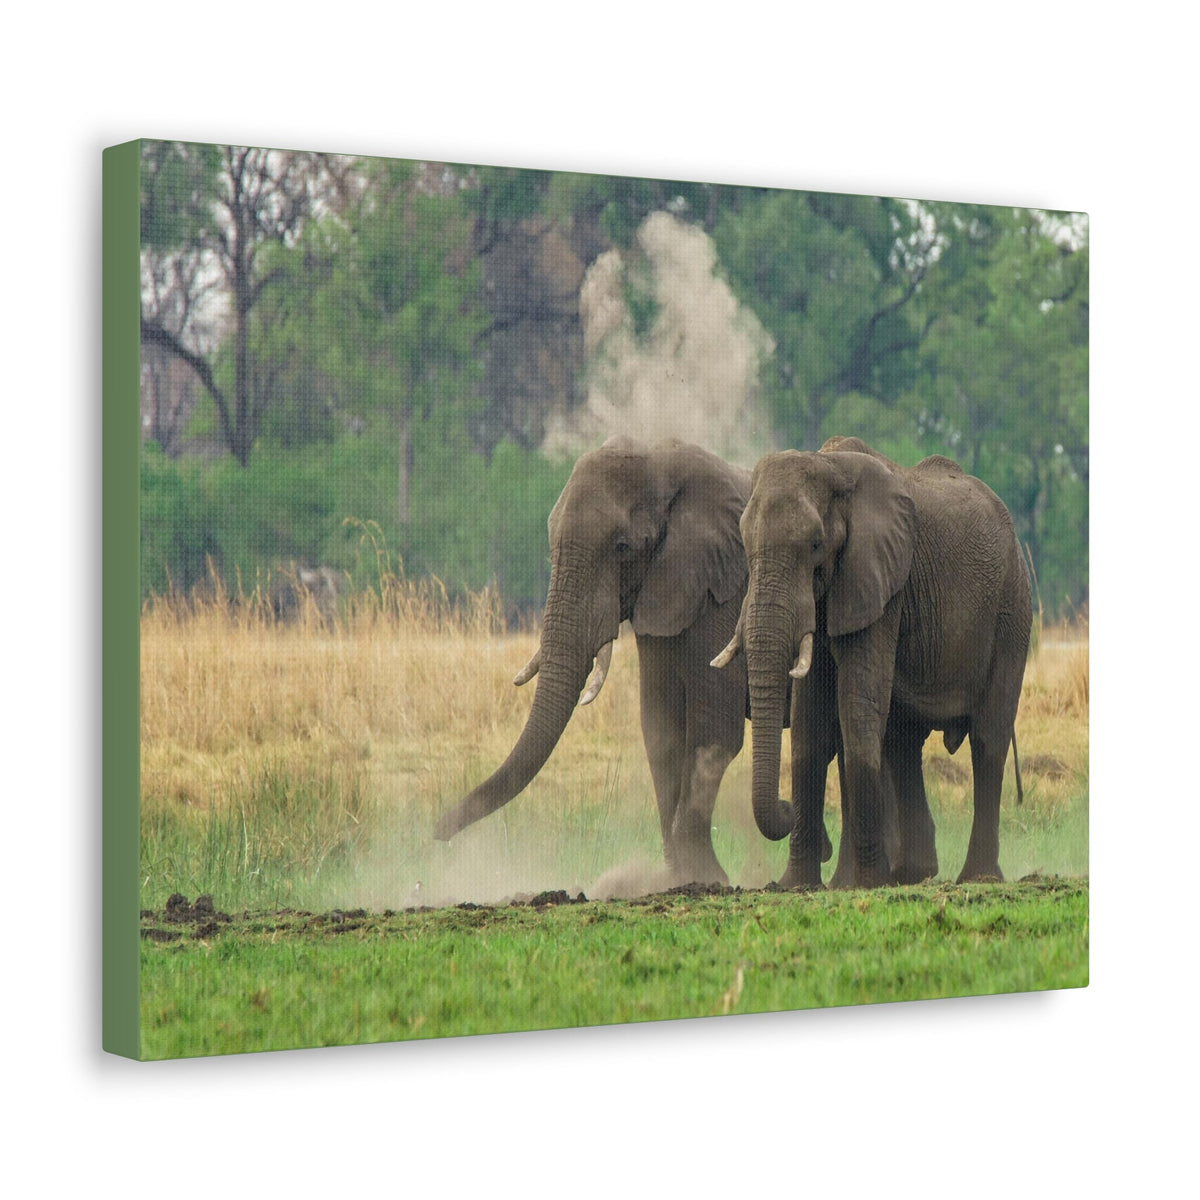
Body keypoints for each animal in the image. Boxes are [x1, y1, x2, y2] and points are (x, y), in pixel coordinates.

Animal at [434, 435, 756, 886]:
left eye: (622, 548)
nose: (436, 833)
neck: (663, 461)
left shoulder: (720, 590)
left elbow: (713, 729)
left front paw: (709, 879)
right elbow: (661, 730)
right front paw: (678, 880)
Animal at [713, 436, 1032, 888]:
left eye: (815, 545)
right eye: (744, 544)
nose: (785, 809)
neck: (830, 466)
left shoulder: (880, 582)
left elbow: (856, 705)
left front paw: (863, 883)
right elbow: (811, 722)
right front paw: (798, 885)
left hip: (1012, 608)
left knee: (988, 737)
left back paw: (977, 878)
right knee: (902, 742)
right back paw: (912, 873)